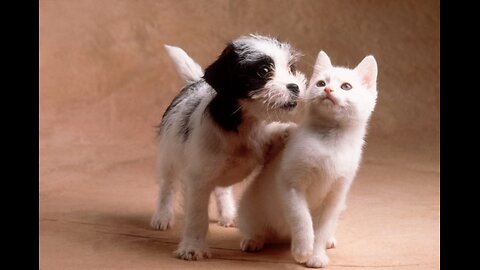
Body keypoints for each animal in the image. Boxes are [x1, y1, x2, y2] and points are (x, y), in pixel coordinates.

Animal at [152, 33, 306, 260]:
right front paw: (192, 247)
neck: (240, 124)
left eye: (291, 68)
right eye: (263, 71)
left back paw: (227, 213)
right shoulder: (198, 180)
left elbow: (273, 134)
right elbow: (197, 216)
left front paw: (289, 131)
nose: (295, 86)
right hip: (169, 157)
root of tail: (193, 84)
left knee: (222, 190)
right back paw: (162, 216)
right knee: (168, 186)